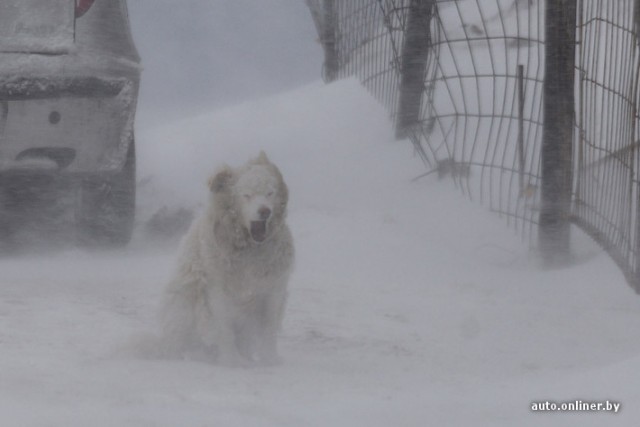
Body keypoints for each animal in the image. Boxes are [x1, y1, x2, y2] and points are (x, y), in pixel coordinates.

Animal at [160, 152, 296, 366]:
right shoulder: (217, 290)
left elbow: (269, 329)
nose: (265, 211)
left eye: (270, 193)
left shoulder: (273, 290)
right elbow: (224, 329)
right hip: (182, 303)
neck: (249, 249)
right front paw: (232, 361)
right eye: (247, 195)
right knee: (177, 344)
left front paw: (270, 359)